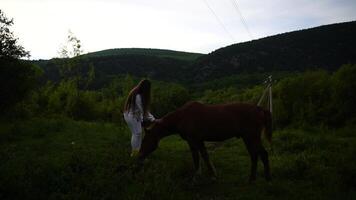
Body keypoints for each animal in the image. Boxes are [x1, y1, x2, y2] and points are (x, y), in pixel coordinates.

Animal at [138, 101, 272, 181]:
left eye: (145, 140)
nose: (139, 156)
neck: (181, 117)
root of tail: (260, 109)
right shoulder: (200, 140)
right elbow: (205, 156)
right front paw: (212, 174)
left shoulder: (192, 141)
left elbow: (196, 158)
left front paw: (196, 176)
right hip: (249, 138)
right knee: (255, 155)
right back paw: (253, 178)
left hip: (251, 137)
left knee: (262, 154)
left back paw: (264, 178)